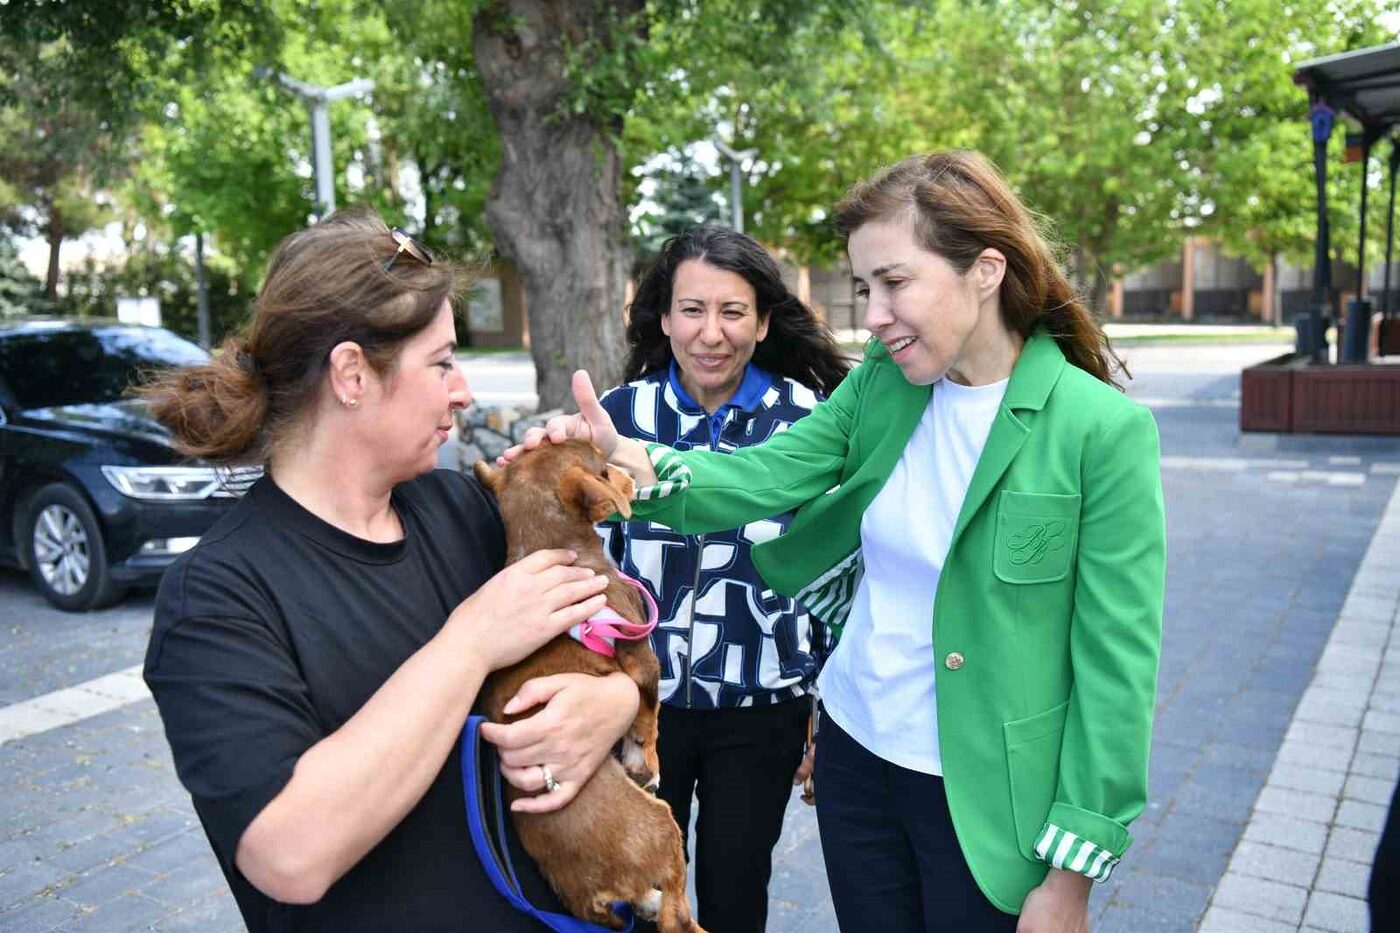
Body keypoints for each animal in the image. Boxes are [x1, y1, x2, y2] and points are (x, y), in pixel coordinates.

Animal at [476, 437, 705, 930]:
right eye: (604, 471)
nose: (630, 471)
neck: (547, 547)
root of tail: (586, 897)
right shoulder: (643, 657)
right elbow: (649, 716)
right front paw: (648, 761)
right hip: (662, 824)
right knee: (675, 909)